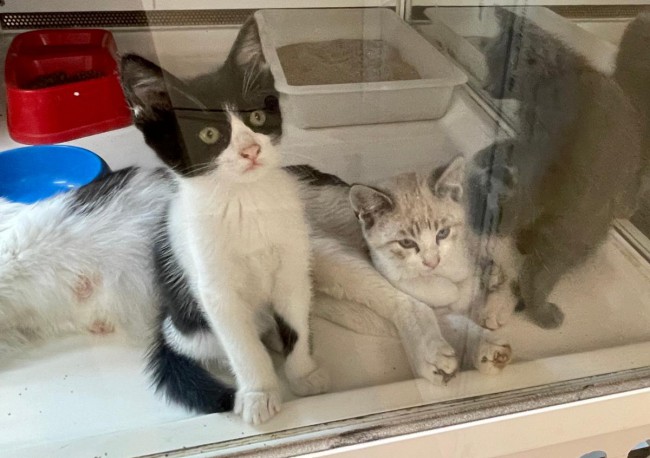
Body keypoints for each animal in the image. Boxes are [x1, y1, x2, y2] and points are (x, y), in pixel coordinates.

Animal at [469, 6, 643, 329]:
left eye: (502, 70)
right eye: (488, 63)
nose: (486, 87)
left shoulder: (535, 131)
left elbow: (513, 144)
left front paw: (485, 154)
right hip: (577, 234)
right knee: (536, 273)